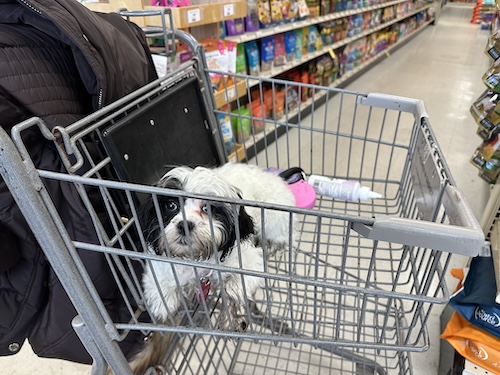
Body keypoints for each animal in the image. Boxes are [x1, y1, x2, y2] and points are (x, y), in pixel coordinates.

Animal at [127, 163, 296, 374]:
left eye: (206, 208)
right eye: (171, 206)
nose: (185, 224)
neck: (198, 258)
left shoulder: (249, 260)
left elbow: (234, 287)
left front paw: (230, 312)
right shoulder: (161, 265)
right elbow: (159, 284)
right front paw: (164, 301)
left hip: (275, 218)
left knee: (283, 237)